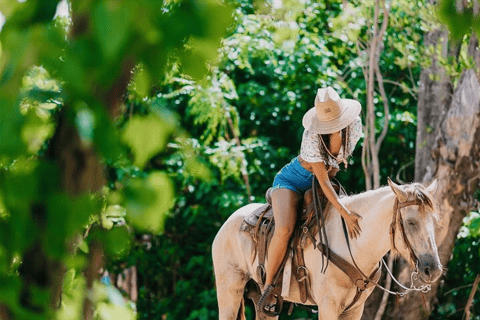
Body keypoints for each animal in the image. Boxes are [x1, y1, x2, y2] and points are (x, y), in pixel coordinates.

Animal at [213, 179, 442, 318]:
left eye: (434, 221)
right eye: (411, 222)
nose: (433, 270)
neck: (354, 245)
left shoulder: (355, 310)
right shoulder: (328, 307)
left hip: (265, 304)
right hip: (229, 293)